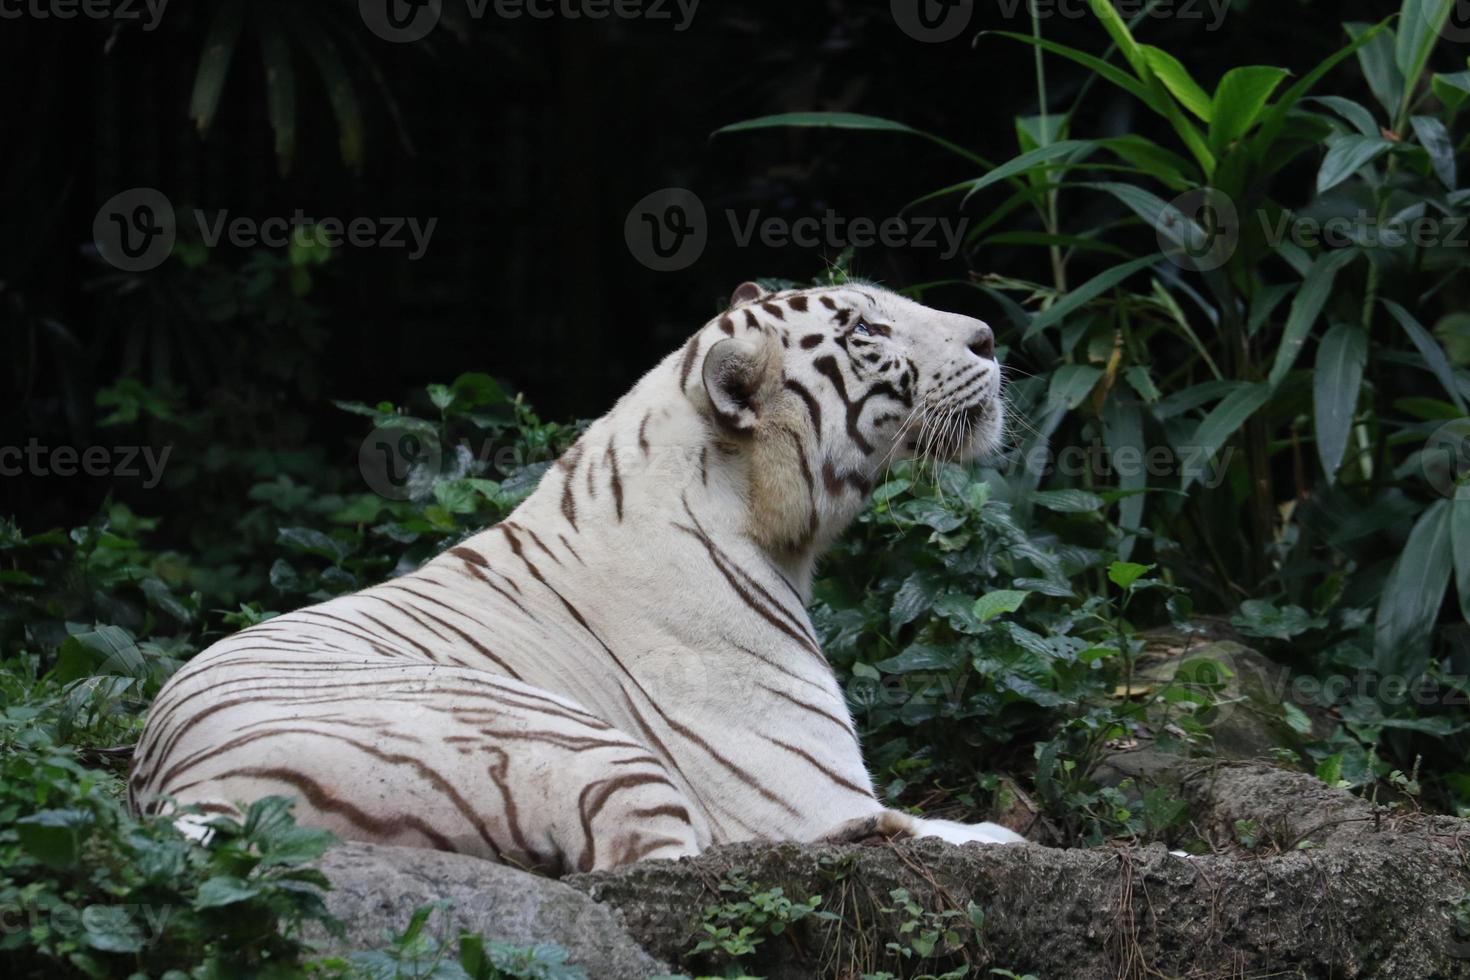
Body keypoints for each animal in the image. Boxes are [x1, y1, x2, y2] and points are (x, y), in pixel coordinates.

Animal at [132, 279, 1023, 869]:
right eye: (867, 327)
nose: (988, 336)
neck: (762, 522)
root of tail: (181, 790)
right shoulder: (802, 787)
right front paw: (996, 832)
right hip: (578, 745)